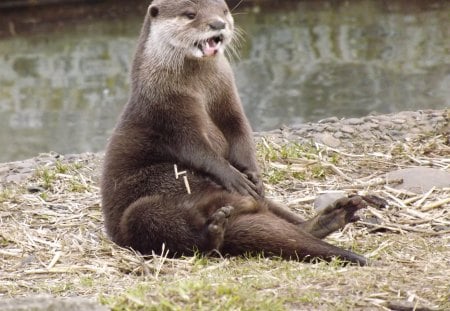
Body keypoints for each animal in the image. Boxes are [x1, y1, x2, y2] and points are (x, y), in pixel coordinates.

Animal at [101, 0, 370, 266]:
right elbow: (197, 150)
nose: (218, 23)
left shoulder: (227, 96)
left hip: (264, 203)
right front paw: (233, 177)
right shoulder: (168, 112)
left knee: (276, 214)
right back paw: (212, 231)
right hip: (139, 214)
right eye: (190, 14)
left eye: (224, 10)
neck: (198, 88)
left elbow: (240, 130)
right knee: (167, 228)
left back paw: (331, 216)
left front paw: (252, 172)